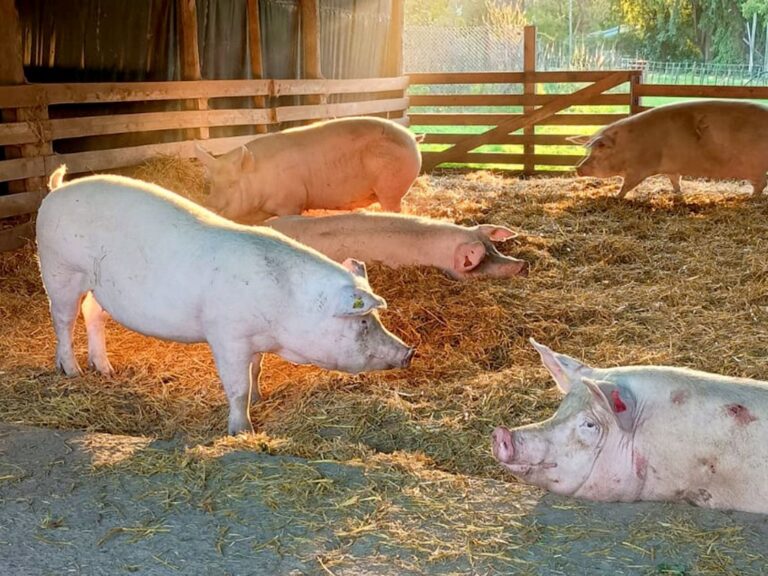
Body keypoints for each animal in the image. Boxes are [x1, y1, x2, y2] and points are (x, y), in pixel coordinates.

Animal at [36, 165, 414, 435]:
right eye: (362, 321)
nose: (409, 351)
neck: (287, 307)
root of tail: (57, 189)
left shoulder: (255, 339)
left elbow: (256, 369)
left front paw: (261, 397)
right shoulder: (227, 335)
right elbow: (237, 386)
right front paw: (242, 431)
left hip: (99, 286)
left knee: (92, 314)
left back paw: (106, 369)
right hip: (60, 269)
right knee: (62, 318)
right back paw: (71, 371)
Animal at [194, 116, 423, 224]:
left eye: (232, 184)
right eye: (210, 184)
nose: (209, 206)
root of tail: (413, 138)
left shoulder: (291, 202)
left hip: (391, 188)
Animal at [570, 100, 768, 198]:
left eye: (600, 150)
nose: (577, 168)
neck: (627, 146)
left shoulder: (640, 168)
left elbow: (627, 185)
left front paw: (615, 196)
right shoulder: (671, 167)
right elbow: (675, 180)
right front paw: (678, 194)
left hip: (755, 166)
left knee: (761, 183)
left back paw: (751, 198)